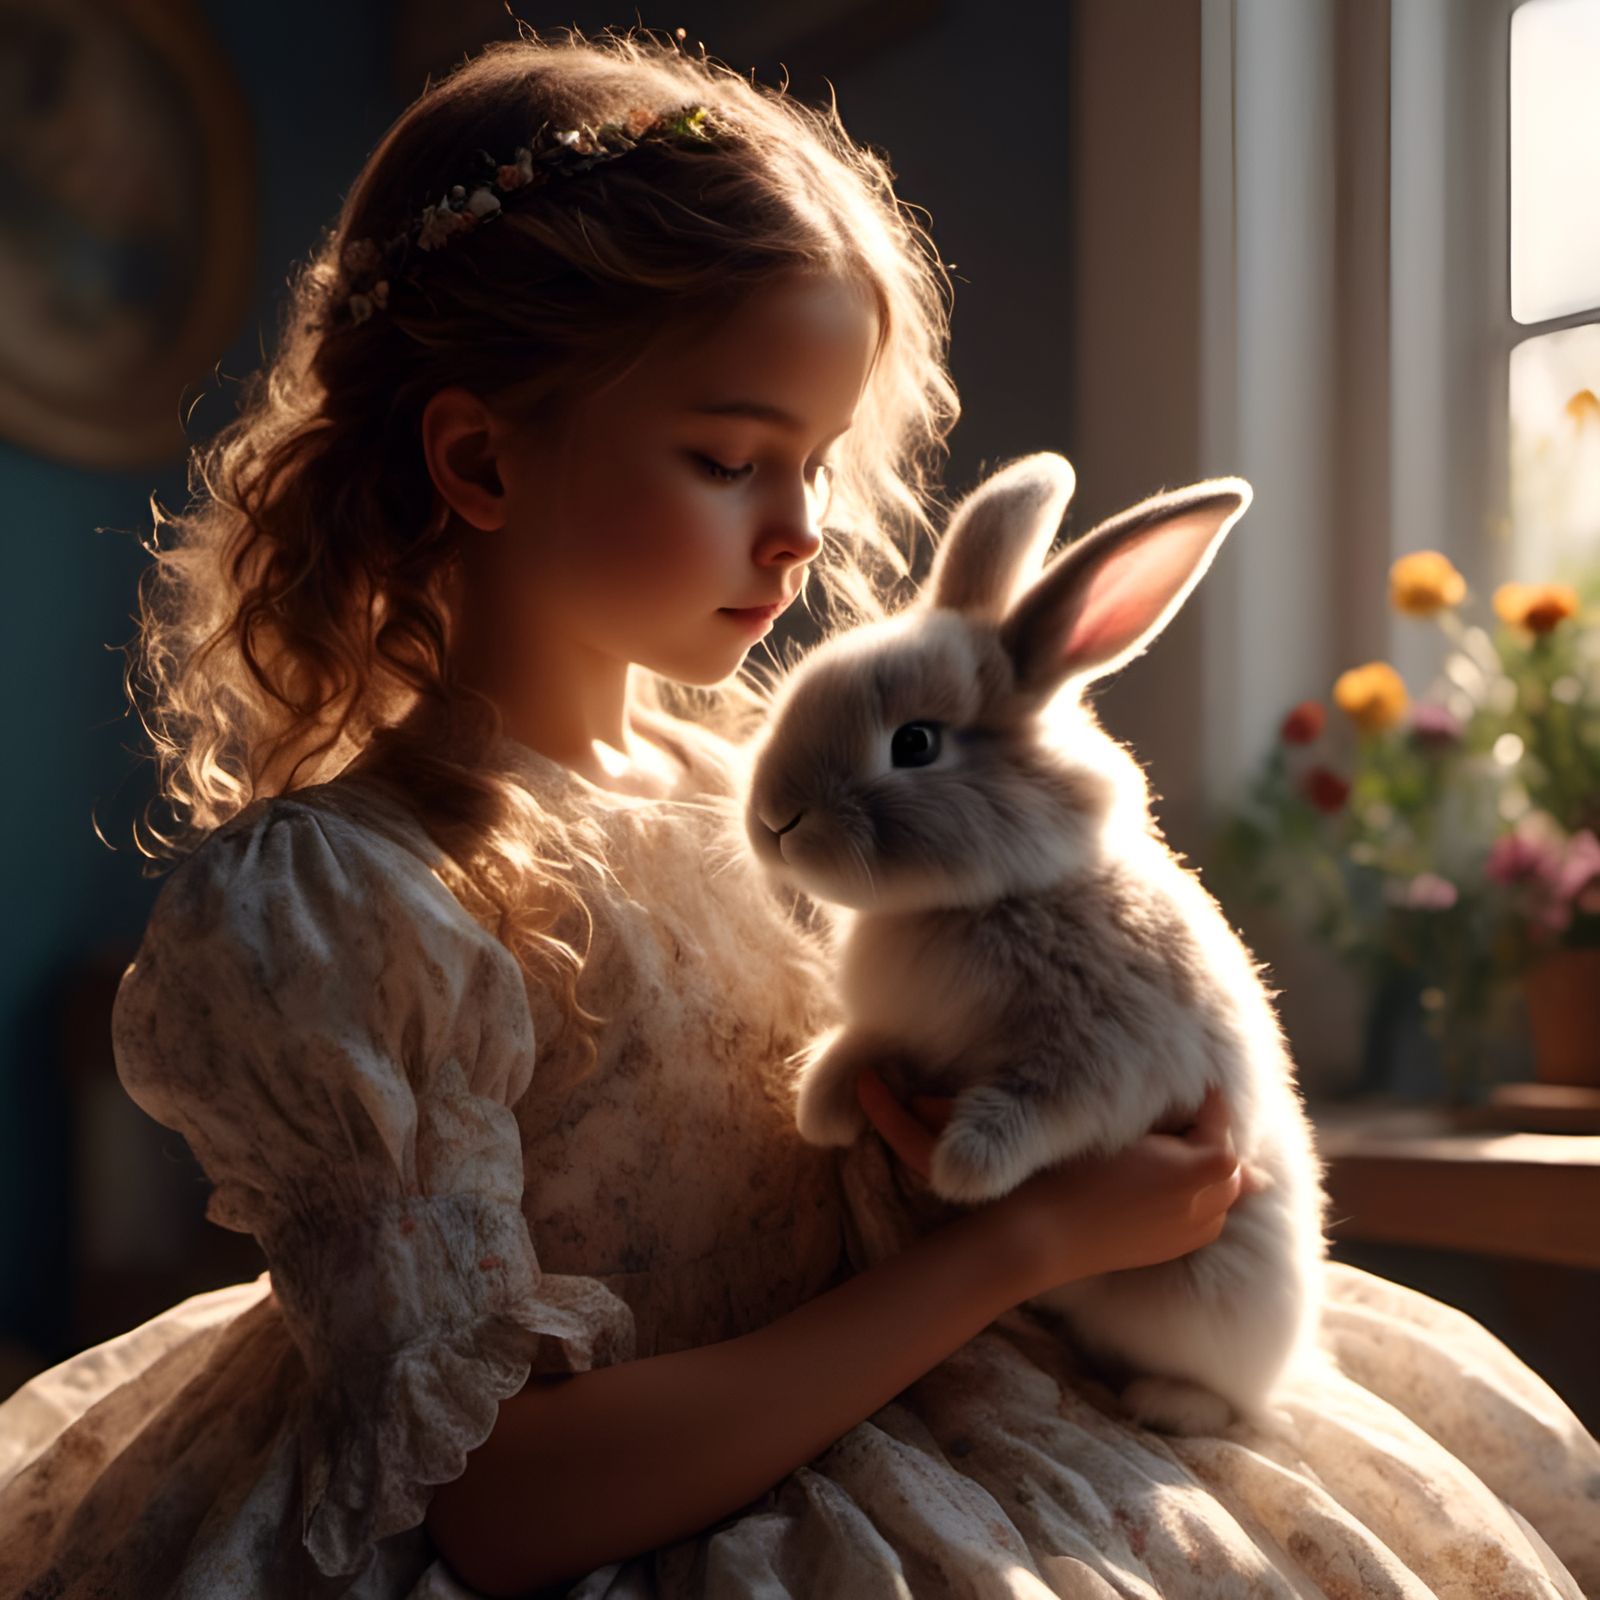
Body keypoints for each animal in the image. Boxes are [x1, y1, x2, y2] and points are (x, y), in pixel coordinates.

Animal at [741, 451, 1333, 1438]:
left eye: (914, 742)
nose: (773, 819)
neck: (986, 897)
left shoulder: (1101, 1059)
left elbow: (1038, 1107)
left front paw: (963, 1168)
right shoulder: (899, 1029)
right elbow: (858, 1049)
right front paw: (821, 1109)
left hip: (1213, 1307)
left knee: (1240, 1405)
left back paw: (1164, 1401)